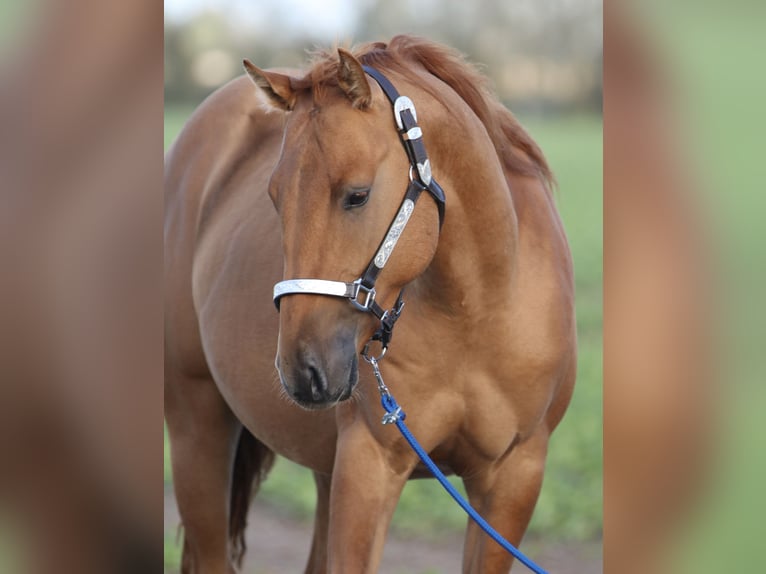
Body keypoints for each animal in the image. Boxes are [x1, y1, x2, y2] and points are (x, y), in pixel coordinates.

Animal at [164, 35, 576, 574]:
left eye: (357, 195)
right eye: (274, 197)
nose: (303, 371)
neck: (477, 312)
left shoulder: (513, 478)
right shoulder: (369, 467)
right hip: (196, 425)